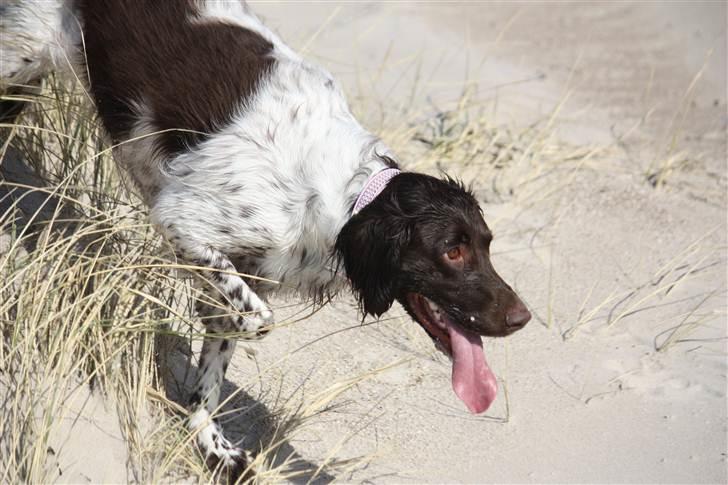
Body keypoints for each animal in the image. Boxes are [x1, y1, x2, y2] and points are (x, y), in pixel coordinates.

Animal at [0, 0, 528, 476]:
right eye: (452, 251)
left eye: (486, 245)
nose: (522, 318)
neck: (343, 199)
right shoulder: (181, 219)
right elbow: (255, 320)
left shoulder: (240, 266)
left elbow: (212, 368)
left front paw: (212, 446)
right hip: (21, 57)